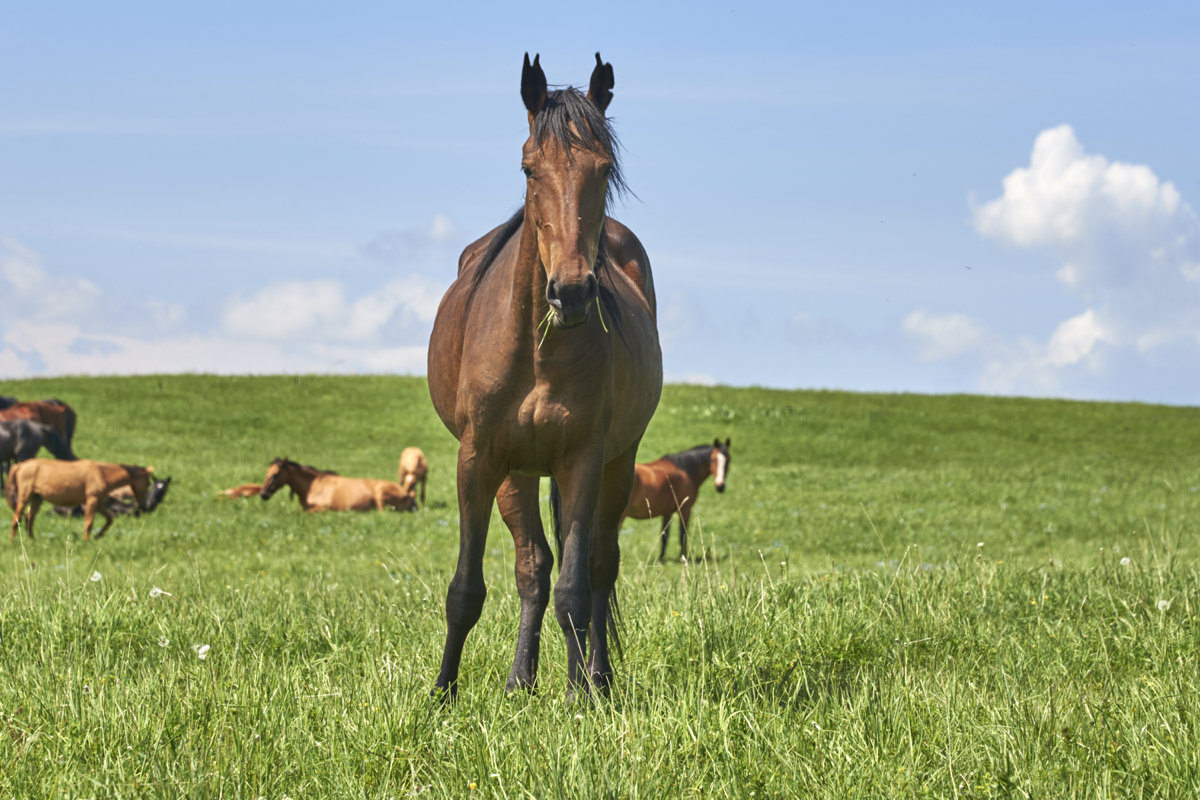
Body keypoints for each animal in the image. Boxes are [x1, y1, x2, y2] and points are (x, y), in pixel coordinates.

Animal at [8, 460, 156, 542]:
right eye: (148, 482)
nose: (144, 503)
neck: (101, 473)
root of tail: (19, 465)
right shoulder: (91, 500)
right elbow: (89, 523)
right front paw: (86, 542)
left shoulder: (99, 503)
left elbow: (109, 519)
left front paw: (98, 536)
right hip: (25, 496)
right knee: (16, 517)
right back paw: (12, 542)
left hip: (36, 498)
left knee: (29, 518)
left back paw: (32, 540)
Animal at [258, 455, 417, 513]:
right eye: (266, 473)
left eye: (275, 475)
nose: (263, 494)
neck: (313, 486)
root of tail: (408, 495)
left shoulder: (323, 508)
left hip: (380, 495)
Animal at [424, 51, 667, 700]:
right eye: (529, 169)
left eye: (603, 169)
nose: (574, 290)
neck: (536, 355)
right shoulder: (478, 458)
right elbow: (466, 590)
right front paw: (442, 693)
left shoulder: (583, 457)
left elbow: (577, 590)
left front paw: (582, 695)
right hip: (516, 472)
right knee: (533, 564)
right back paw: (520, 682)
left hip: (617, 462)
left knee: (598, 568)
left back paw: (595, 677)